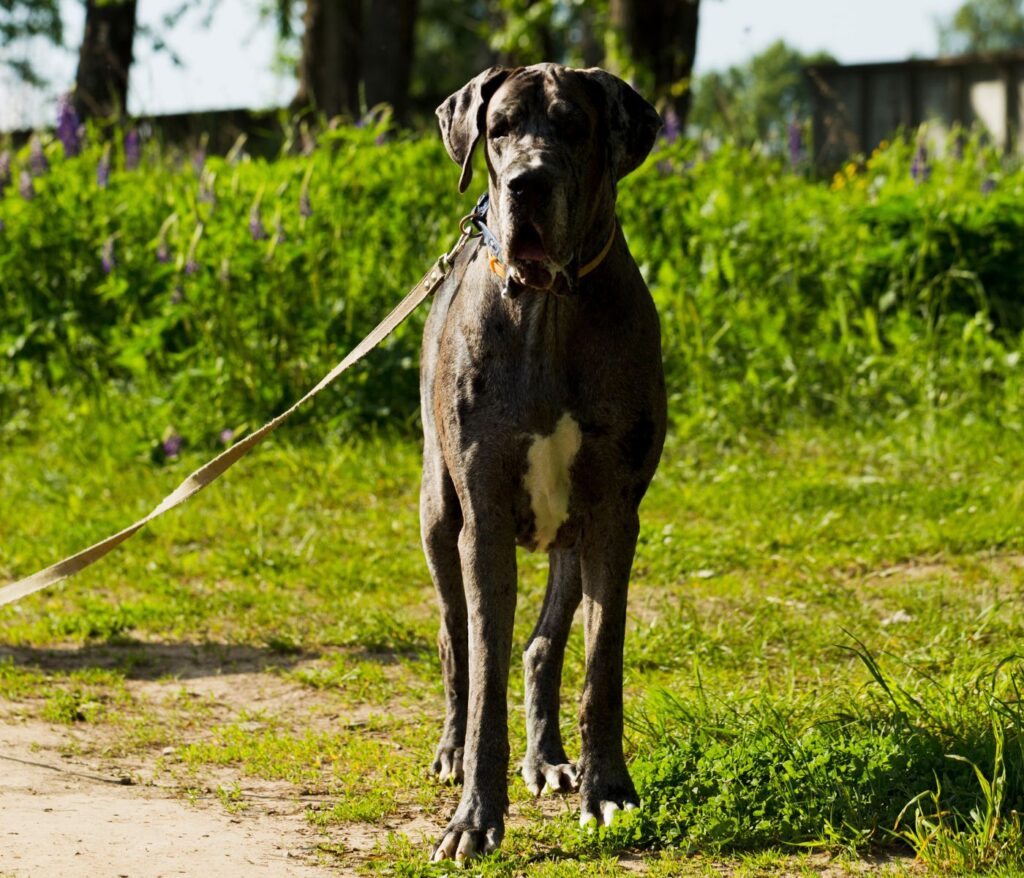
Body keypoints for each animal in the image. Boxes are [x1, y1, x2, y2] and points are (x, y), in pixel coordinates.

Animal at [419, 65, 667, 860]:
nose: (528, 183)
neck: (550, 309)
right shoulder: (485, 520)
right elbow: (484, 669)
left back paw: (549, 759)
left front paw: (608, 790)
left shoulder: (614, 516)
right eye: (498, 129)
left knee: (541, 646)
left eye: (574, 126)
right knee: (456, 640)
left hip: (569, 536)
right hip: (438, 516)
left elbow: (599, 663)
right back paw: (452, 750)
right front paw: (473, 818)